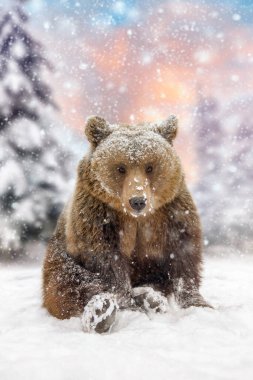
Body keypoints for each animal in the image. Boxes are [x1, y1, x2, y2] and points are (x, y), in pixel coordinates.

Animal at [42, 116, 211, 332]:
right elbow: (108, 264)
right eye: (121, 168)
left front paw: (198, 303)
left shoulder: (172, 214)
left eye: (149, 167)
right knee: (67, 284)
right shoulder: (98, 216)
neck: (135, 218)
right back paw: (101, 312)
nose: (138, 201)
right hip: (60, 254)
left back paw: (152, 299)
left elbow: (183, 257)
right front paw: (127, 306)